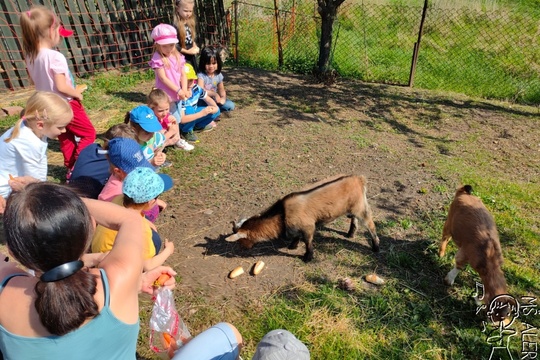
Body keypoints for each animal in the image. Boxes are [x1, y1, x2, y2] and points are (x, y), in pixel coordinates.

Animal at [224, 174, 380, 262]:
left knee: (370, 225)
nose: (243, 248)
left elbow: (308, 242)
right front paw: (292, 246)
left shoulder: (308, 226)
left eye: (241, 239)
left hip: (361, 208)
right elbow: (296, 236)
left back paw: (376, 247)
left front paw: (307, 257)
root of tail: (358, 179)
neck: (282, 214)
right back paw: (350, 233)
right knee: (353, 219)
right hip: (351, 208)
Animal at [440, 186, 512, 320]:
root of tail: (464, 192)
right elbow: (459, 264)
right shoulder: (466, 252)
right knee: (445, 236)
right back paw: (441, 253)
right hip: (449, 221)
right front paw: (449, 280)